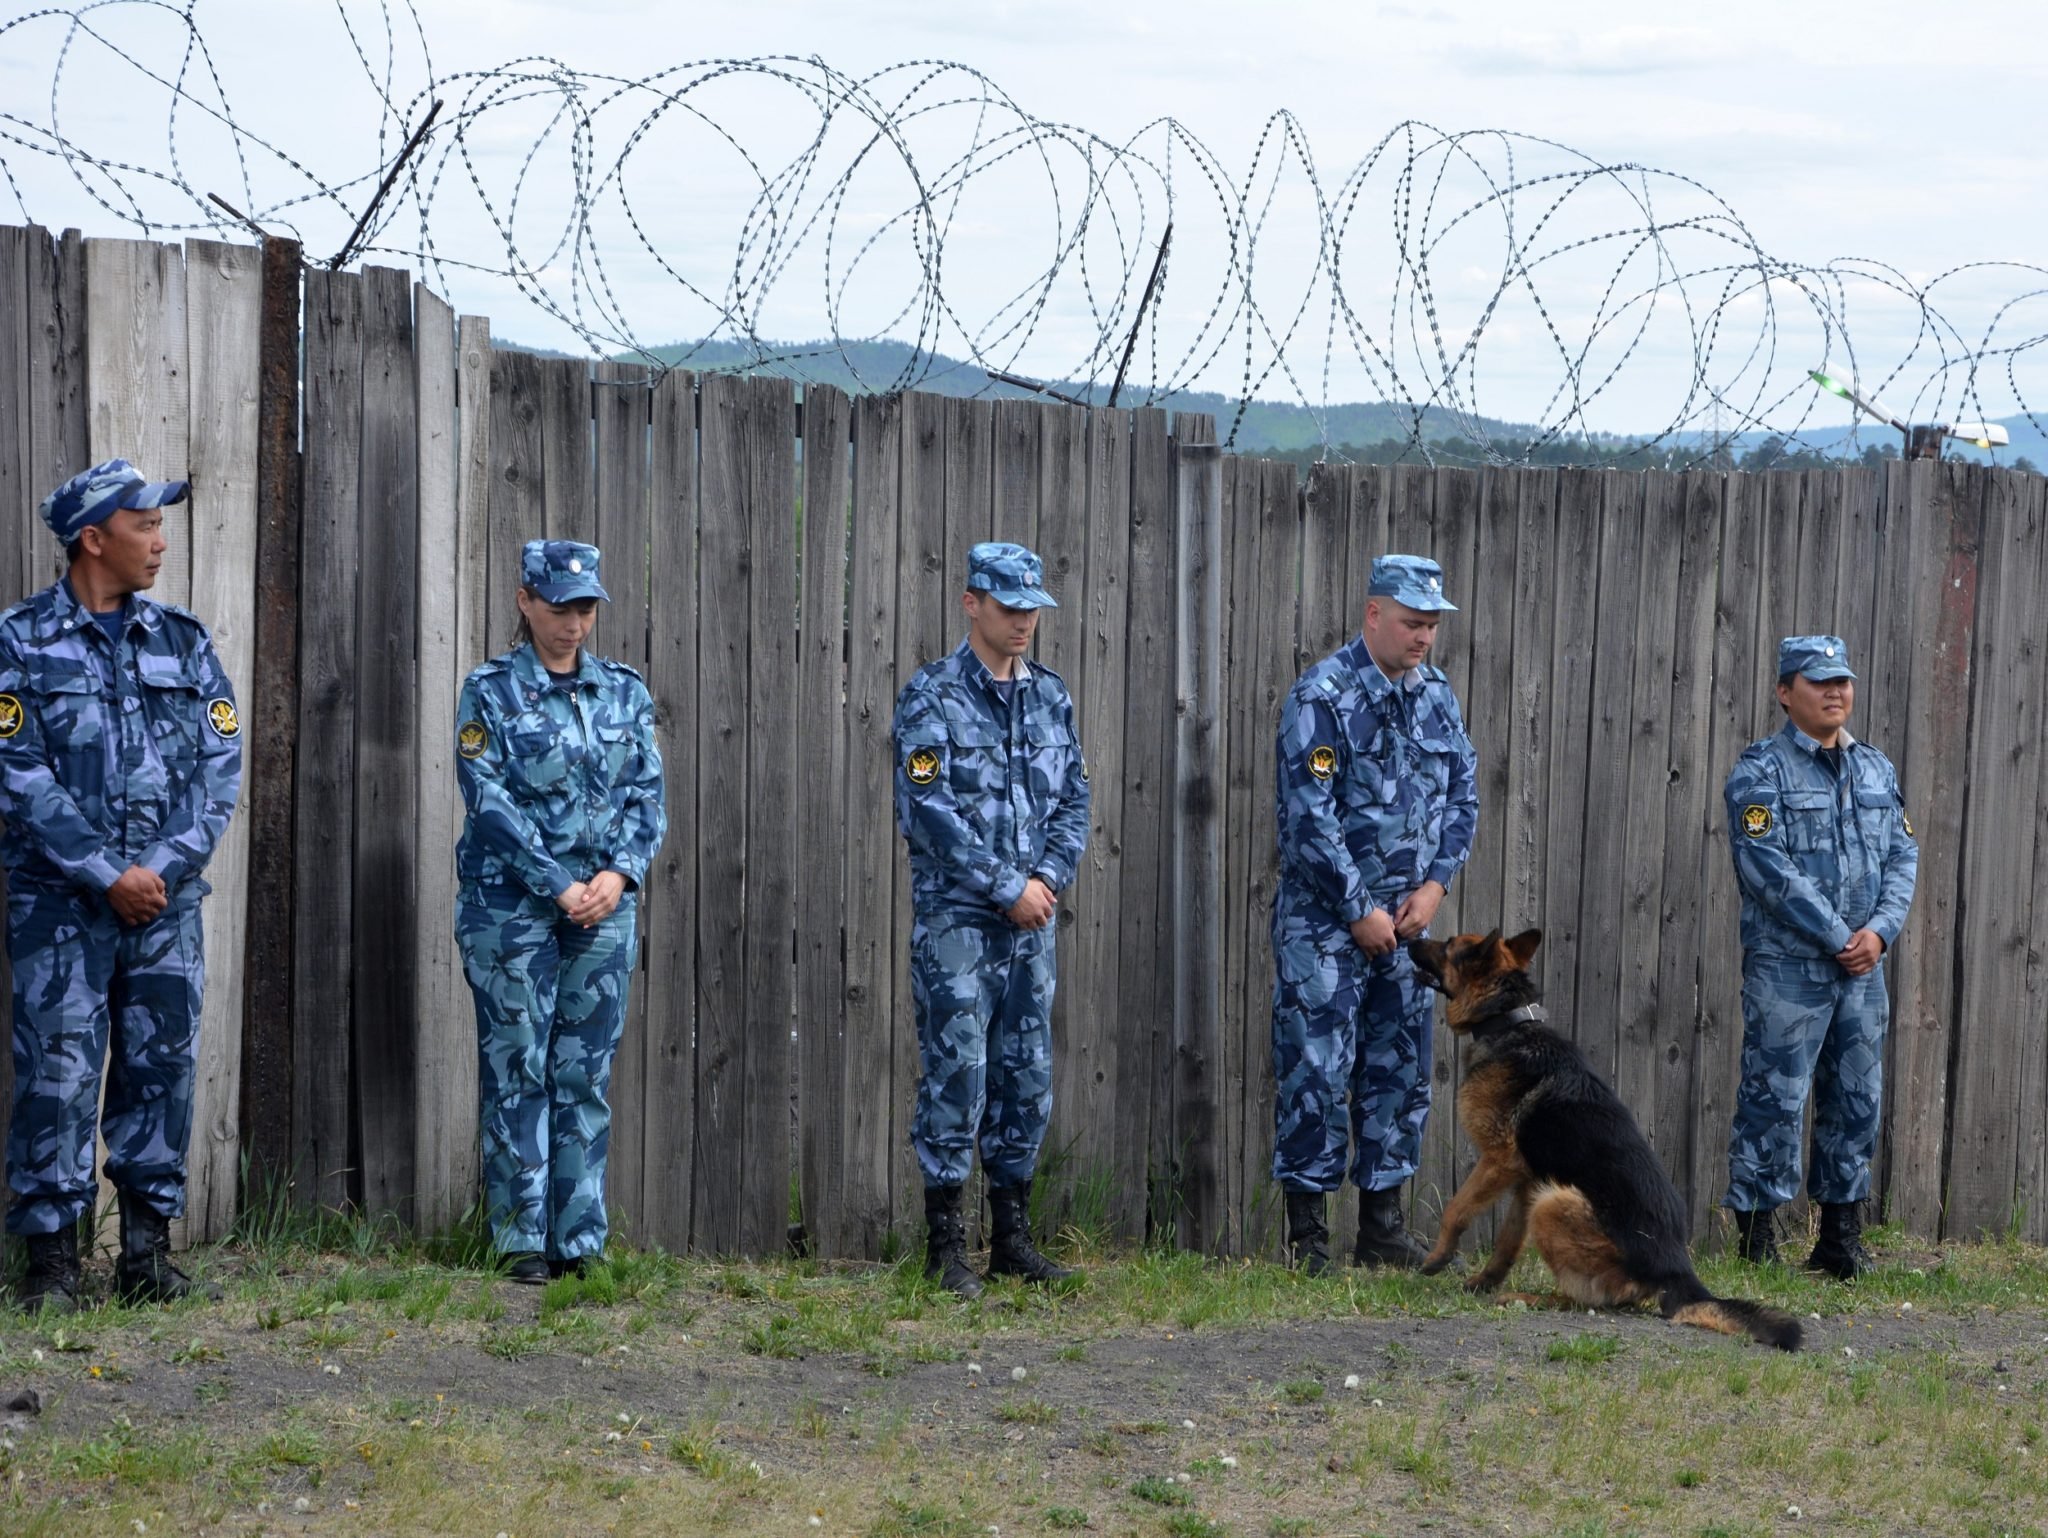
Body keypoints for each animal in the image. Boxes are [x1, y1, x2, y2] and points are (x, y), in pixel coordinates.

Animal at [1400, 925, 1802, 1343]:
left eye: (1447, 946)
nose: (1408, 938)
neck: (1508, 1020)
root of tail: (1678, 1271)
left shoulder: (1499, 1160)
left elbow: (1456, 1208)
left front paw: (1437, 1258)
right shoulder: (1527, 1181)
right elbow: (1508, 1240)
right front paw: (1484, 1280)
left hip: (1555, 1203)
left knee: (1590, 1299)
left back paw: (1528, 1298)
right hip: (1546, 1195)